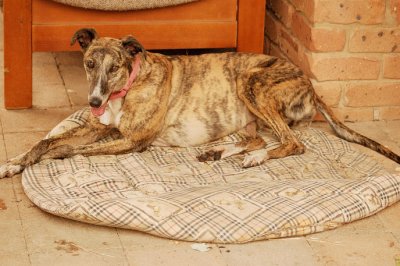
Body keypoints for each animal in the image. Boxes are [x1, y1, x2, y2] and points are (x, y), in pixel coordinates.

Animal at [0, 28, 400, 178]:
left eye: (114, 68)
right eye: (89, 64)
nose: (94, 100)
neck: (128, 86)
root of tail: (311, 85)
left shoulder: (130, 140)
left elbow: (65, 150)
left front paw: (45, 160)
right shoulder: (99, 127)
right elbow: (44, 142)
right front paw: (14, 163)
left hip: (252, 83)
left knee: (292, 143)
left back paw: (254, 158)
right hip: (249, 113)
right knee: (258, 137)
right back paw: (219, 152)